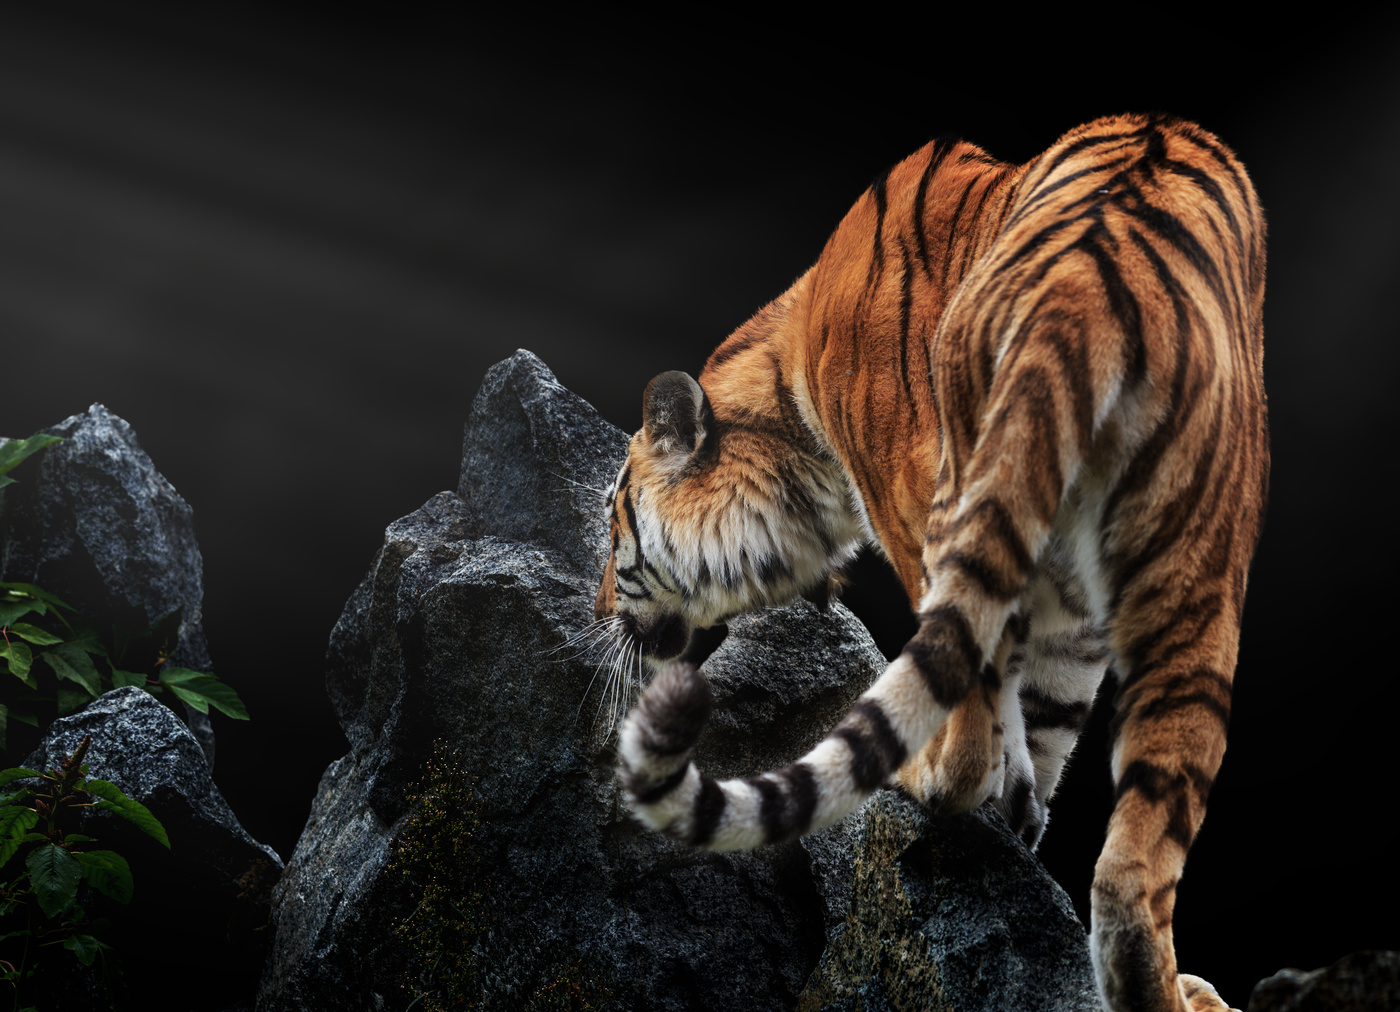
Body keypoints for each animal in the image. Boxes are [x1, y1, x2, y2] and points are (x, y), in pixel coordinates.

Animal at [592, 112, 1268, 1012]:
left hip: (962, 500)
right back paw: (1168, 989)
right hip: (1196, 573)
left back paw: (920, 778)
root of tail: (1085, 295)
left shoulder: (906, 502)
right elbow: (1043, 726)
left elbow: (988, 713)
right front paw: (1020, 821)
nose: (598, 612)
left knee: (964, 719)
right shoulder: (1073, 617)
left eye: (611, 530)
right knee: (1132, 868)